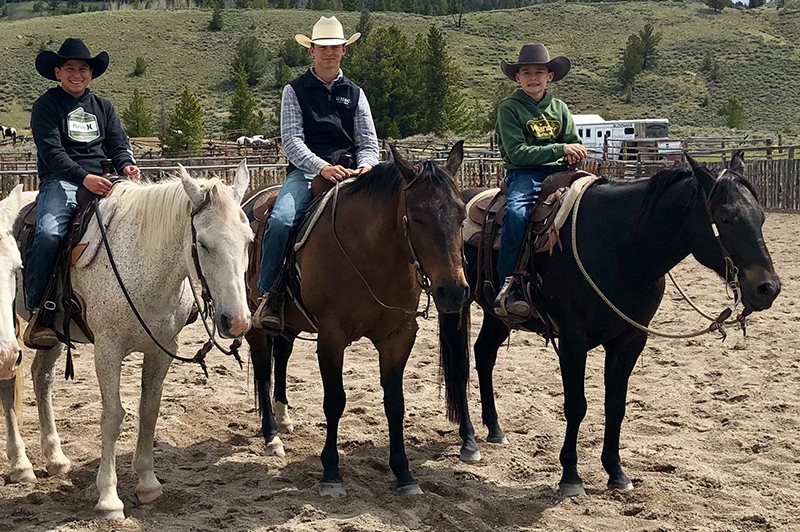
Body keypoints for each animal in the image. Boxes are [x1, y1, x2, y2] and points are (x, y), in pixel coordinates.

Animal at [0, 163, 253, 520]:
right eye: (203, 244)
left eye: (249, 240)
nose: (238, 321)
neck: (143, 259)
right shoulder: (108, 349)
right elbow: (112, 417)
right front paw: (108, 498)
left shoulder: (163, 349)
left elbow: (149, 410)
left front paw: (147, 483)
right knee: (9, 384)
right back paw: (20, 465)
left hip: (54, 333)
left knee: (42, 378)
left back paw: (55, 458)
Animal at [244, 143, 468, 496]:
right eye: (417, 217)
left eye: (461, 216)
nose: (453, 292)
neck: (369, 253)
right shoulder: (331, 337)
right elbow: (335, 401)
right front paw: (331, 473)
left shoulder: (398, 337)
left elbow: (395, 403)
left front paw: (404, 474)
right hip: (252, 318)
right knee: (264, 368)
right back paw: (271, 436)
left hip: (288, 324)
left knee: (282, 356)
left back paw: (284, 418)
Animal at [438, 152, 780, 496]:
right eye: (725, 218)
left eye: (762, 217)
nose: (768, 288)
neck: (620, 249)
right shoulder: (573, 341)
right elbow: (576, 405)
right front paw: (571, 476)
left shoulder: (630, 340)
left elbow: (616, 405)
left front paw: (616, 473)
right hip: (456, 303)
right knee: (461, 363)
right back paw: (469, 441)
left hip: (498, 316)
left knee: (484, 355)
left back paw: (495, 430)